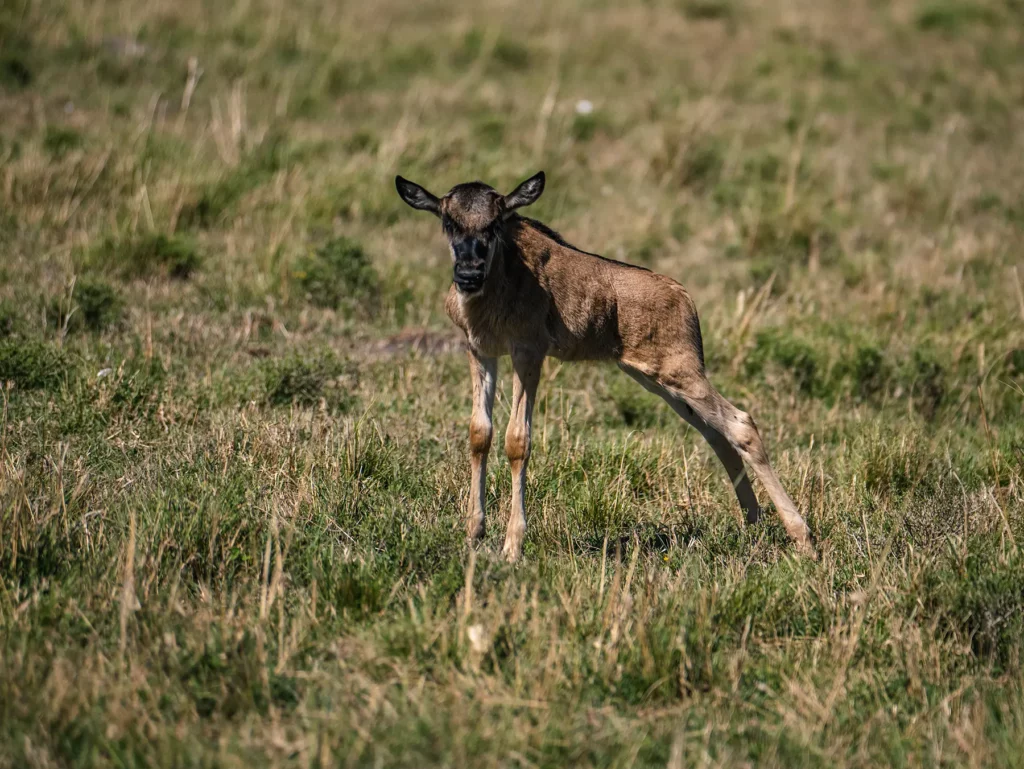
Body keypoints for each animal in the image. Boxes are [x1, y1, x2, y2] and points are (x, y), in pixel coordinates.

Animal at [395, 171, 816, 561]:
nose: (468, 275)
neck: (502, 276)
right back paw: (753, 523)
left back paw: (803, 539)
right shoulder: (481, 350)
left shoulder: (528, 353)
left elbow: (518, 440)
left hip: (680, 374)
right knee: (716, 433)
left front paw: (513, 547)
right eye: (448, 221)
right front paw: (473, 534)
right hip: (656, 381)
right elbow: (479, 433)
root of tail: (683, 296)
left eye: (495, 222)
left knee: (741, 424)